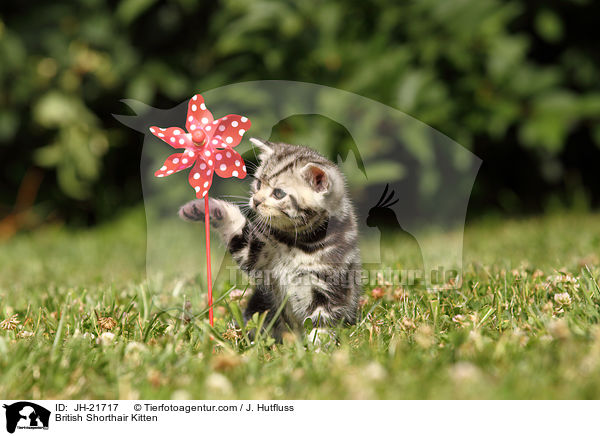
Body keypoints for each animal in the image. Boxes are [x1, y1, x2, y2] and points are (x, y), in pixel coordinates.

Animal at [178, 138, 360, 338]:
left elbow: (323, 319)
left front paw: (317, 343)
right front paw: (205, 208)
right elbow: (235, 228)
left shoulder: (331, 284)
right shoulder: (255, 256)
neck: (298, 242)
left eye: (278, 193)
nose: (256, 201)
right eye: (258, 184)